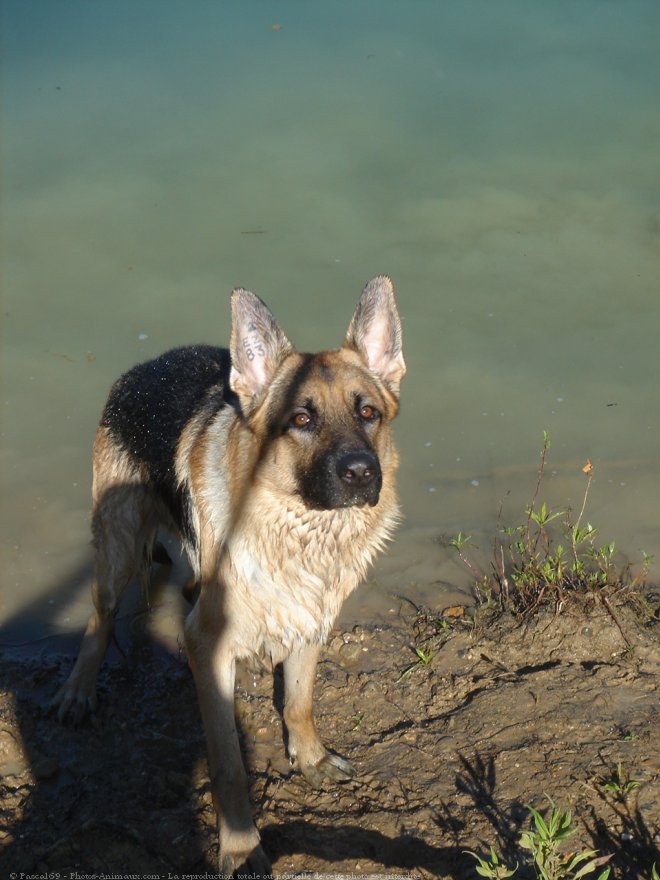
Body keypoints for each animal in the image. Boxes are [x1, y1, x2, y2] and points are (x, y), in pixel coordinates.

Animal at [54, 276, 404, 872]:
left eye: (369, 414)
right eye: (301, 420)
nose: (362, 474)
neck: (293, 525)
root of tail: (147, 364)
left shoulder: (311, 614)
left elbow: (300, 701)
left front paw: (309, 757)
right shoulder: (207, 645)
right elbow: (227, 766)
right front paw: (241, 846)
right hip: (116, 550)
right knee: (99, 620)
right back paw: (79, 689)